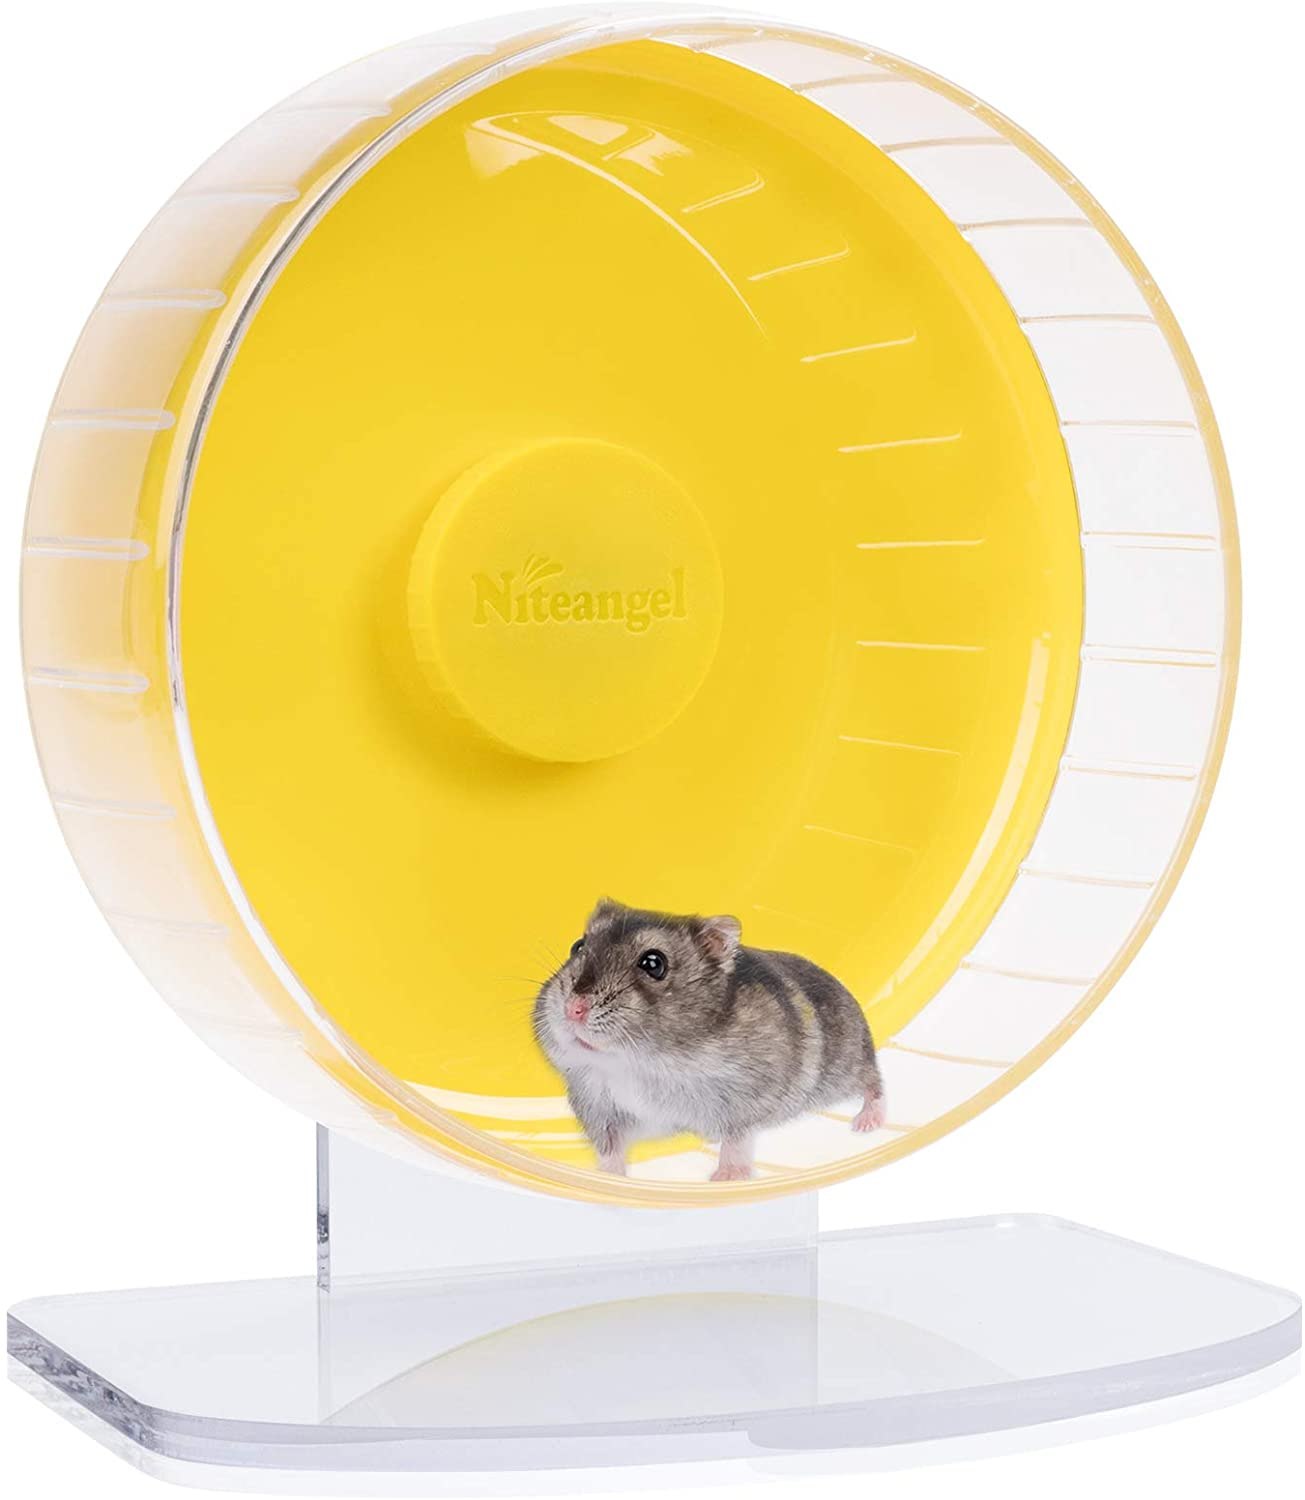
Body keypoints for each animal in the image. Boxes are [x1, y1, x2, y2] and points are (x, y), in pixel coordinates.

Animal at [532, 899, 886, 1181]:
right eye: (577, 946)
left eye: (653, 963)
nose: (572, 1009)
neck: (642, 1061)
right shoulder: (597, 1105)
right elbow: (610, 1148)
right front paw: (610, 1178)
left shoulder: (749, 1098)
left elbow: (736, 1138)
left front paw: (726, 1178)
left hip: (849, 1066)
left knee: (874, 1083)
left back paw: (867, 1124)